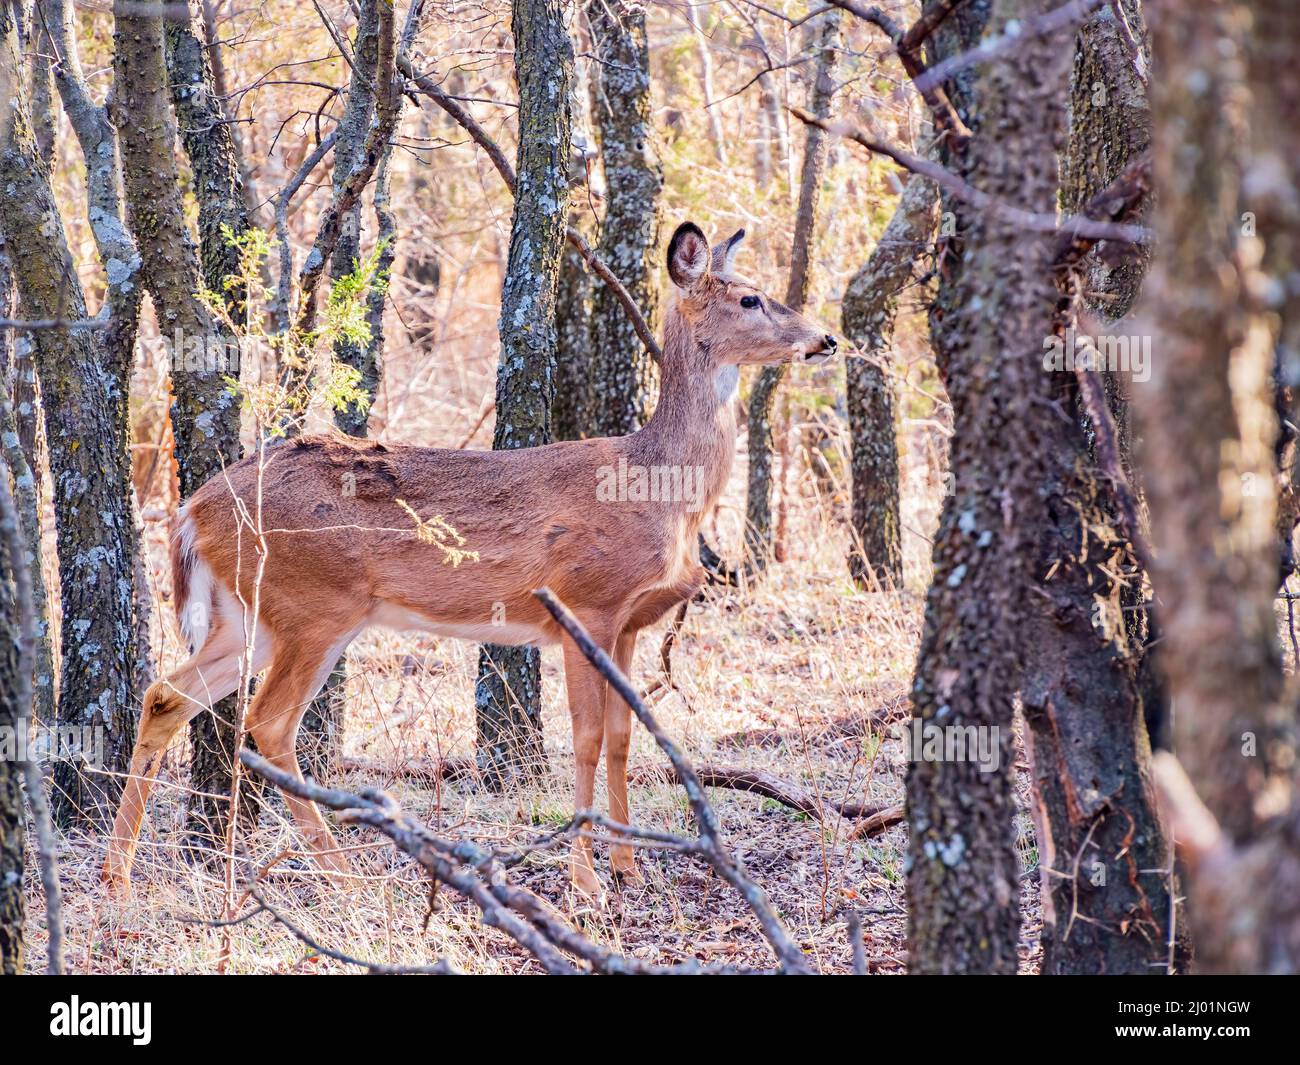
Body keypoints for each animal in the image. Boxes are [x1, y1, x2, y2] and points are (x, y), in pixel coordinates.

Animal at [102, 222, 838, 898]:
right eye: (750, 298)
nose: (825, 338)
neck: (655, 484)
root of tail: (193, 508)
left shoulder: (628, 624)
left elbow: (625, 737)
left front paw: (627, 870)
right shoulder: (586, 603)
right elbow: (587, 739)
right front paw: (587, 885)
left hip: (248, 615)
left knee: (167, 695)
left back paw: (119, 877)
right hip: (316, 606)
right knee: (268, 723)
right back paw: (345, 875)